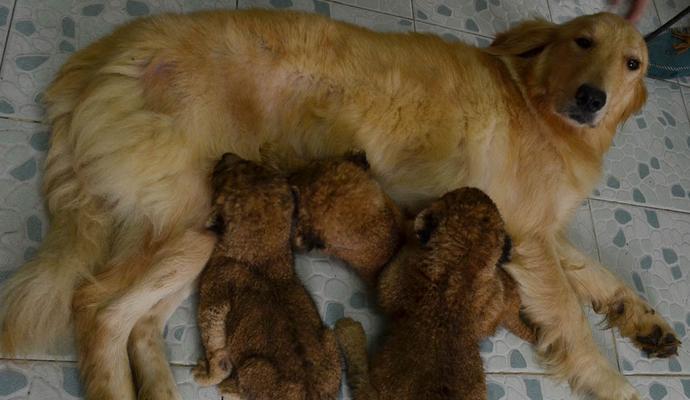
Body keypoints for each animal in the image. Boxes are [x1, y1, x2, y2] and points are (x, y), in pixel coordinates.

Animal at [191, 152, 400, 398]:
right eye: (250, 164)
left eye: (220, 182)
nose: (225, 155)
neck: (263, 250)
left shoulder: (215, 290)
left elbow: (215, 345)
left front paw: (207, 375)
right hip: (328, 338)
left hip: (254, 367)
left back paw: (230, 387)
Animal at [336, 188, 536, 400]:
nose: (478, 189)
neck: (460, 272)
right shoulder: (490, 306)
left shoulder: (396, 277)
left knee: (359, 379)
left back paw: (349, 331)